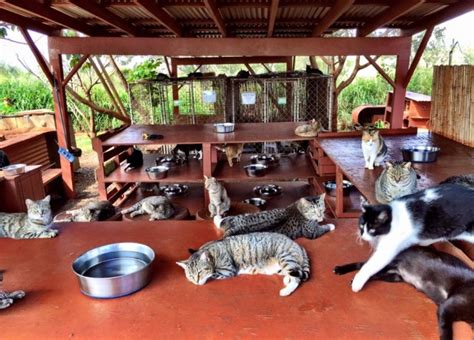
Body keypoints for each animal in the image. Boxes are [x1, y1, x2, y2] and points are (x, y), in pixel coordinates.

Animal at [176, 232, 310, 296]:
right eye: (191, 276)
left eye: (200, 272)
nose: (196, 282)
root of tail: (298, 245)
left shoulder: (228, 270)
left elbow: (213, 273)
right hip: (283, 266)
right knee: (294, 273)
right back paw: (287, 279)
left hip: (285, 258)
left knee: (297, 279)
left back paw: (286, 291)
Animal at [334, 246, 474, 340]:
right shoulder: (445, 308)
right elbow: (446, 330)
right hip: (386, 265)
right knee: (362, 265)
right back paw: (342, 270)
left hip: (395, 276)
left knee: (375, 275)